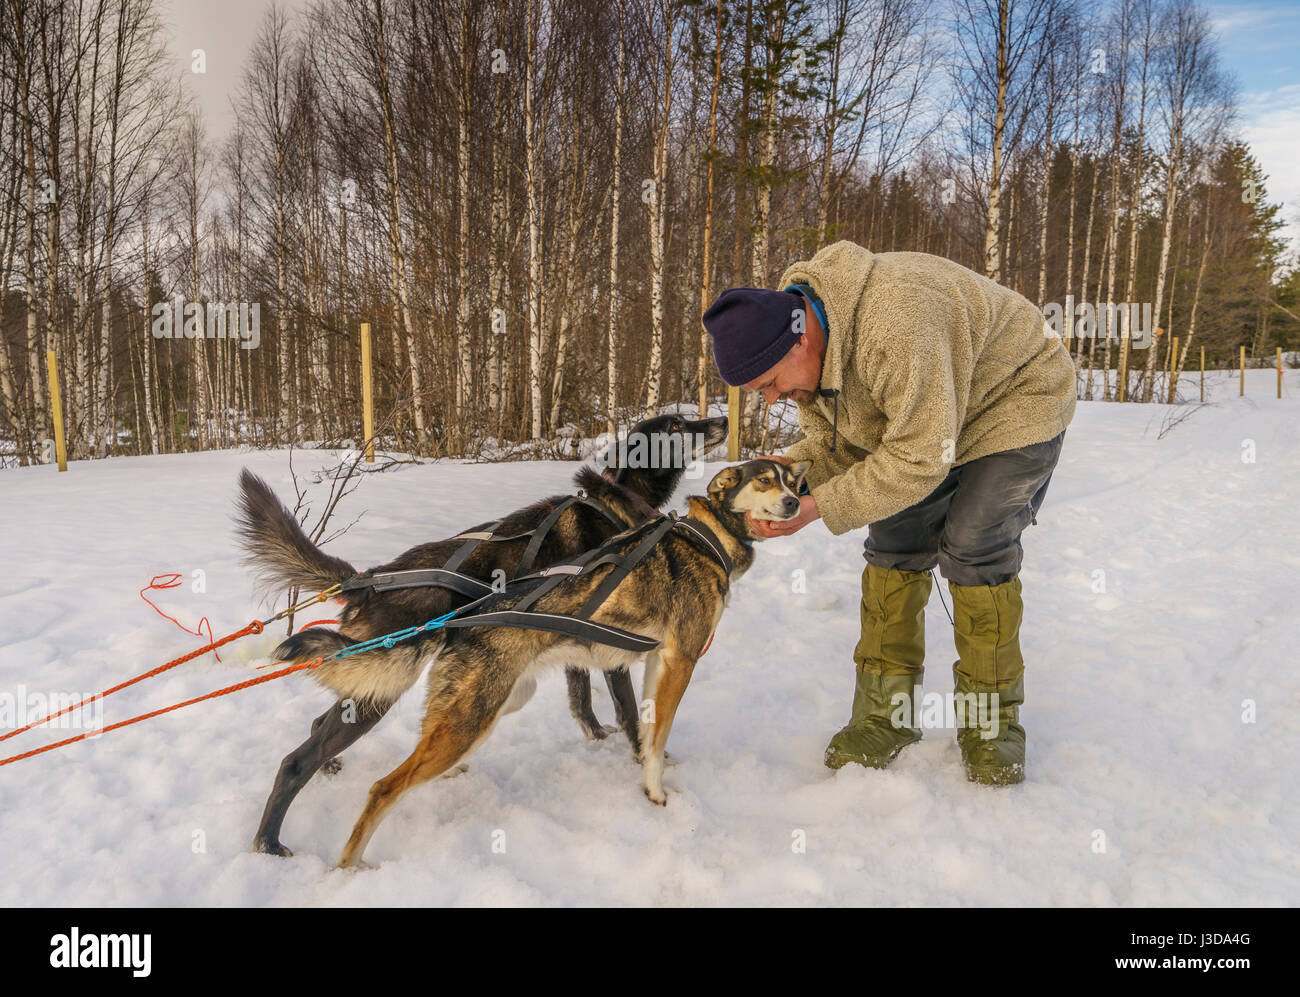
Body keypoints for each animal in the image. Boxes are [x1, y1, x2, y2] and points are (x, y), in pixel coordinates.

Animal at [239, 413, 728, 857]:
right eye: (679, 425)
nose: (722, 419)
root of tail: (368, 580)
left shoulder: (576, 633)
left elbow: (581, 699)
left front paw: (597, 736)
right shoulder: (611, 639)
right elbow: (627, 710)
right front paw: (641, 757)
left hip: (372, 685)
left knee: (319, 728)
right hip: (380, 689)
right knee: (296, 761)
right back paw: (269, 842)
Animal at [335, 457, 806, 868]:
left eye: (790, 481)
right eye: (764, 481)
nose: (795, 503)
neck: (708, 538)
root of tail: (455, 623)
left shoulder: (659, 661)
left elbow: (649, 729)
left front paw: (650, 769)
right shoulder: (681, 661)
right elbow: (656, 737)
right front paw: (656, 795)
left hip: (498, 703)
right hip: (471, 720)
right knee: (384, 787)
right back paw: (349, 865)